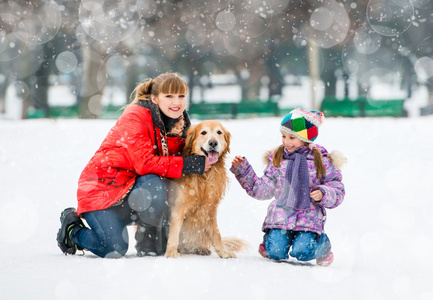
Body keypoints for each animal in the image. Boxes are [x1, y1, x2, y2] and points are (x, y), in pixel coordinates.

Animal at [165, 119, 248, 258]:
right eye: (203, 132)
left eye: (219, 132)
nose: (213, 142)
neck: (204, 175)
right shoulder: (178, 206)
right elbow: (174, 231)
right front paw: (171, 251)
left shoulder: (210, 208)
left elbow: (216, 234)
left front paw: (223, 252)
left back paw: (201, 249)